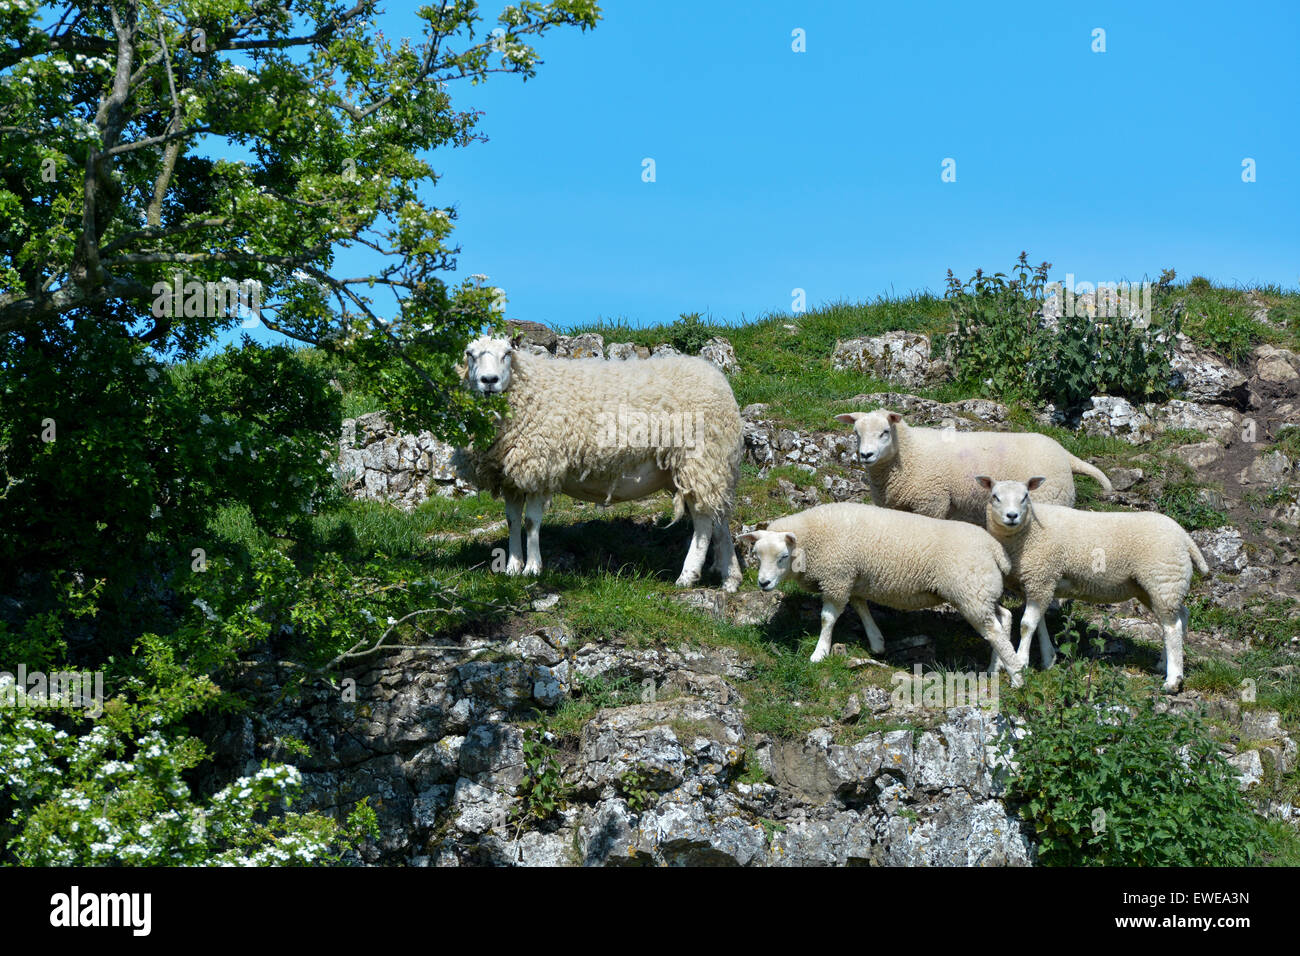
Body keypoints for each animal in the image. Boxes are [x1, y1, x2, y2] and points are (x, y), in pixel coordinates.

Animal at [454, 335, 743, 590]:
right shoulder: (510, 476)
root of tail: (720, 381)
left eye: (507, 353)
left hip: (699, 459)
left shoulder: (539, 466)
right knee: (719, 517)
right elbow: (513, 521)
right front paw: (513, 567)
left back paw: (688, 575)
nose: (489, 381)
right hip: (706, 467)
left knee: (704, 521)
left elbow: (531, 522)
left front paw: (533, 568)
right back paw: (729, 576)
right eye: (469, 354)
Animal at [738, 502, 1019, 681]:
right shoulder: (853, 578)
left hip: (970, 591)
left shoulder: (837, 577)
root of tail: (995, 549)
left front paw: (819, 653)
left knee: (993, 630)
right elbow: (861, 607)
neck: (812, 538)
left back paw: (1016, 674)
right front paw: (876, 641)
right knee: (1003, 618)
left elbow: (827, 618)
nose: (763, 583)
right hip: (982, 591)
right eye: (756, 556)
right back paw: (996, 668)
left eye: (783, 557)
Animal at [837, 408, 1112, 528]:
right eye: (856, 433)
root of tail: (1065, 454)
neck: (909, 452)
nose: (866, 455)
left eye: (885, 432)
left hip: (1050, 501)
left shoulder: (932, 502)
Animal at [977, 476, 1211, 691]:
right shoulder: (1038, 584)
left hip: (1164, 579)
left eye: (1025, 496)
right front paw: (1048, 659)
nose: (1012, 516)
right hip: (1152, 586)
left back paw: (1173, 680)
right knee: (1180, 617)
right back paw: (1163, 664)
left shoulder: (1041, 577)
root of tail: (1185, 538)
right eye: (995, 496)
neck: (1027, 533)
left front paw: (1021, 664)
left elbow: (1027, 625)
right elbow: (1039, 623)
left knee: (1172, 627)